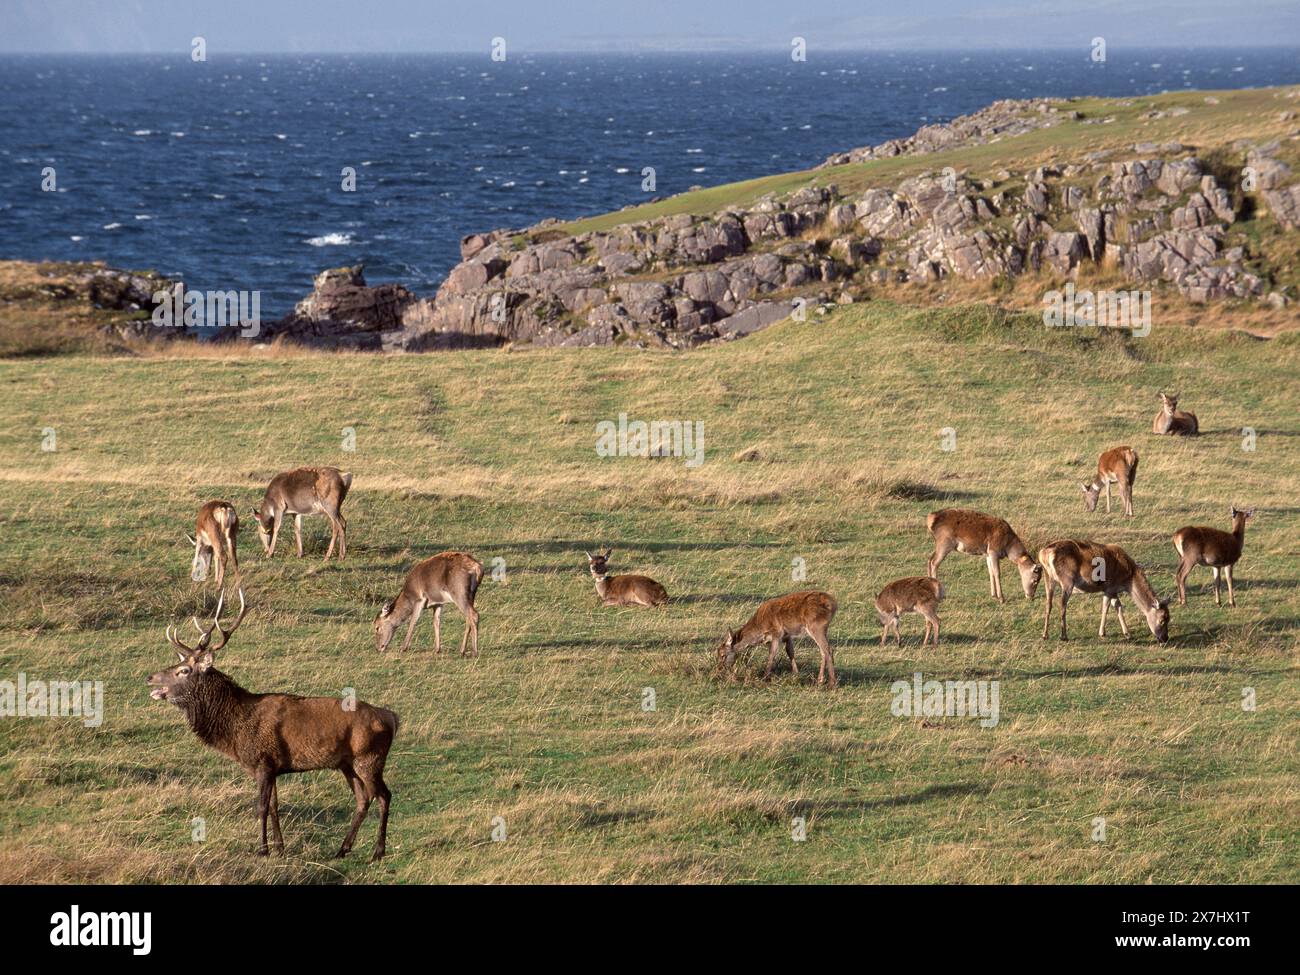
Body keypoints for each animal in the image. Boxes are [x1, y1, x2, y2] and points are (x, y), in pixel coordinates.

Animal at [147, 588, 398, 861]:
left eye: (183, 670)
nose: (149, 677)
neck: (235, 730)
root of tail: (392, 718)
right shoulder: (274, 765)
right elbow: (275, 806)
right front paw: (280, 847)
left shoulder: (263, 761)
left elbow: (262, 807)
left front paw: (262, 849)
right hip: (347, 763)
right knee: (363, 799)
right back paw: (342, 849)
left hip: (370, 757)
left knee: (384, 795)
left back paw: (378, 852)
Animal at [1038, 540, 1170, 643]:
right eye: (1162, 619)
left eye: (1169, 617)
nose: (1165, 638)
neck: (1128, 579)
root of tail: (1043, 553)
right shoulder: (1110, 587)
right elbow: (1108, 607)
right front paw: (1104, 633)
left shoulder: (1112, 590)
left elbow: (1116, 606)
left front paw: (1126, 634)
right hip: (1067, 580)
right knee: (1062, 604)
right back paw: (1064, 636)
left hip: (1048, 577)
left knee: (1048, 603)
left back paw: (1045, 635)